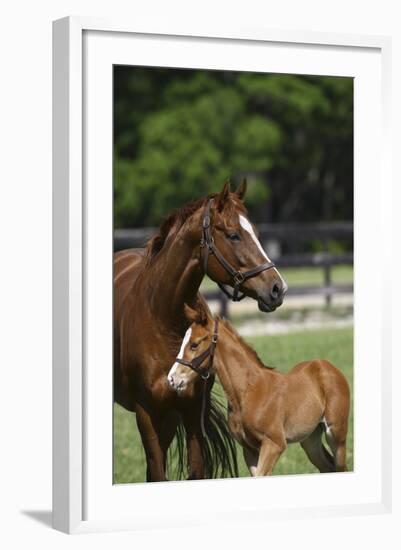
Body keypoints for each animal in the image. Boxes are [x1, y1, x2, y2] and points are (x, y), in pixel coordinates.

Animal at [167, 306, 348, 478]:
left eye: (194, 344)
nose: (172, 379)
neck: (248, 392)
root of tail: (326, 365)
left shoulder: (274, 443)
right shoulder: (250, 450)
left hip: (336, 434)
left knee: (340, 467)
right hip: (310, 440)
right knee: (327, 467)